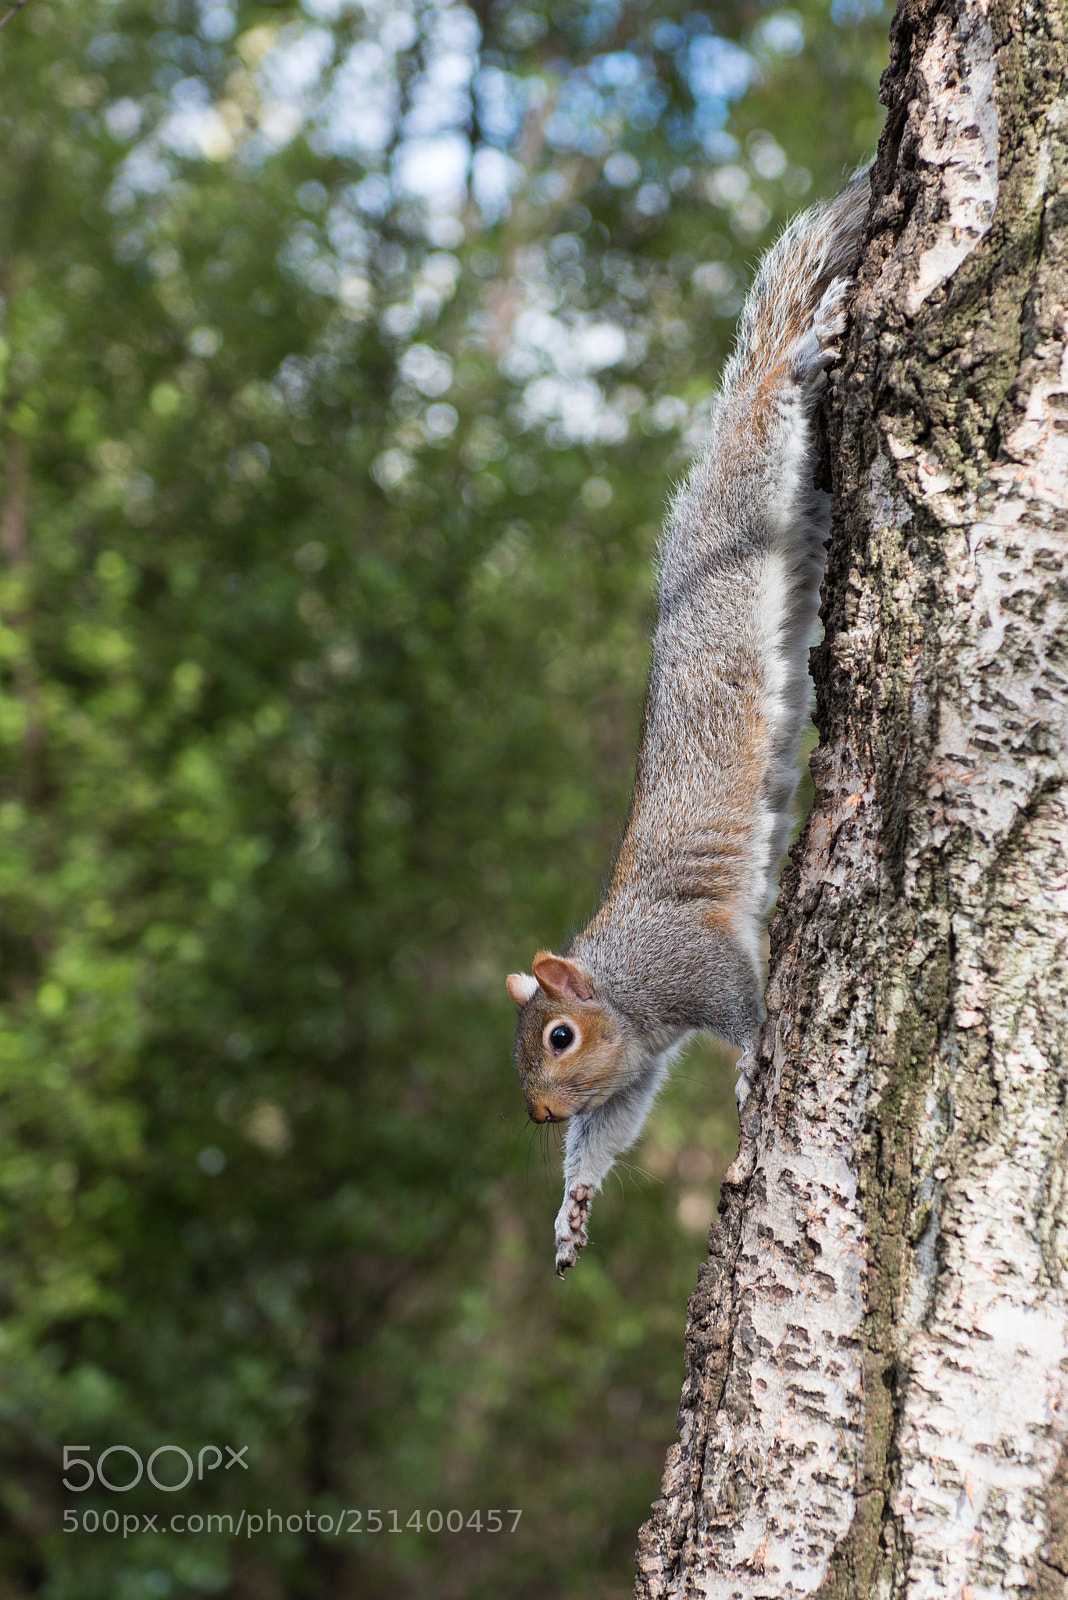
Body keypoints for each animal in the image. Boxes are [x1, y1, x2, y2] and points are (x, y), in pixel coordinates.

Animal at [506, 168, 871, 1275]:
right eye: (520, 1050)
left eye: (558, 1038)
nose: (537, 1117)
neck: (621, 988)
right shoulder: (641, 1062)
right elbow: (616, 1125)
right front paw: (572, 1204)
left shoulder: (691, 967)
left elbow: (744, 1009)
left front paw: (754, 1066)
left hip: (749, 494)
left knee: (767, 424)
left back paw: (798, 361)